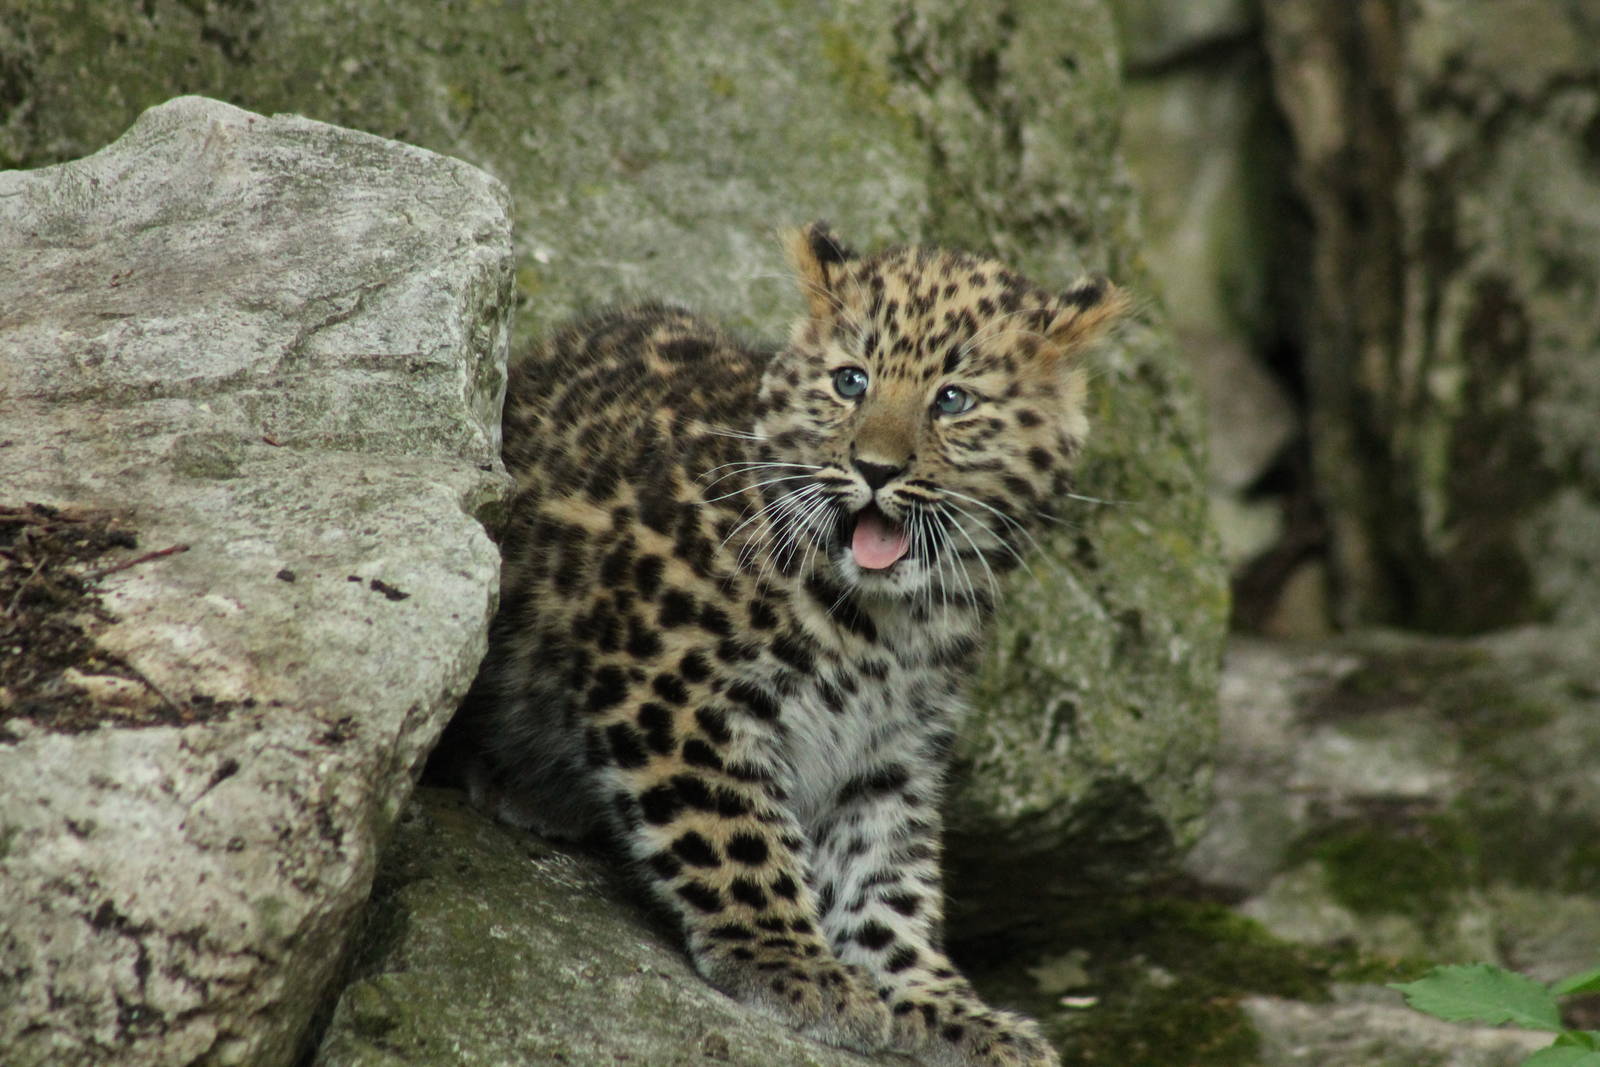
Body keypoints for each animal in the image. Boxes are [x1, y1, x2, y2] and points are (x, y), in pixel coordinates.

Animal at [441, 222, 1127, 1066]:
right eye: (851, 381)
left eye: (953, 399)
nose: (874, 468)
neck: (890, 623)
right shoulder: (675, 692)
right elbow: (737, 838)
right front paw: (796, 965)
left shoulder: (889, 754)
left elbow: (887, 881)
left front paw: (944, 1005)